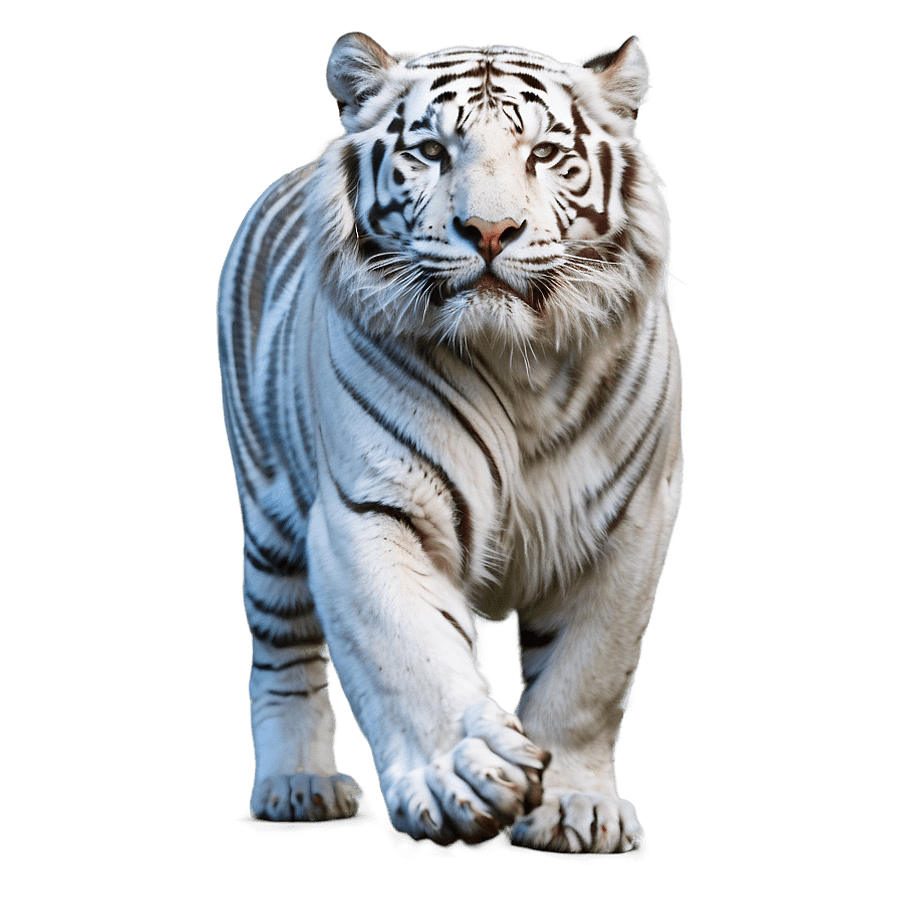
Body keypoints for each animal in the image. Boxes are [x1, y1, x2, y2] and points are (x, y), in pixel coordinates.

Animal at [217, 31, 683, 854]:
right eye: (433, 150)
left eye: (544, 152)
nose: (490, 232)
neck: (521, 369)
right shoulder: (371, 511)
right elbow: (410, 650)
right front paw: (460, 776)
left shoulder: (632, 520)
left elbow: (590, 675)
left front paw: (575, 803)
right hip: (269, 518)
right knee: (284, 655)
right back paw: (299, 783)